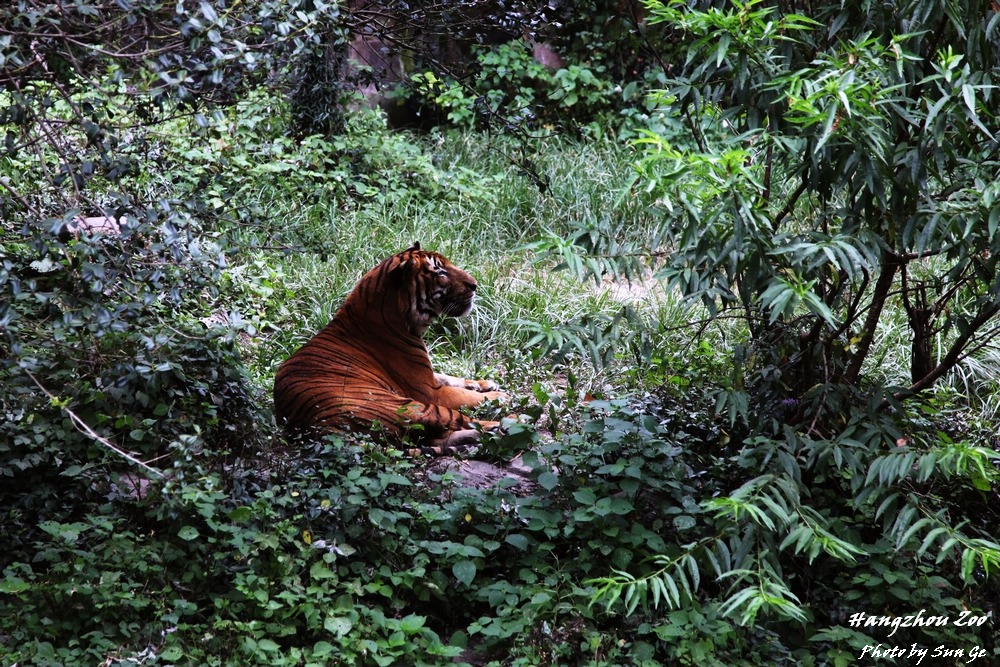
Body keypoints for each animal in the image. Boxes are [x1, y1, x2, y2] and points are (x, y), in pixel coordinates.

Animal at [273, 242, 507, 455]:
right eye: (440, 271)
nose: (475, 285)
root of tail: (323, 428)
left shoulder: (429, 376)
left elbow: (450, 377)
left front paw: (484, 383)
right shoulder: (429, 391)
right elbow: (465, 396)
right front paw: (499, 395)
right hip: (417, 407)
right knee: (463, 422)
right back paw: (503, 424)